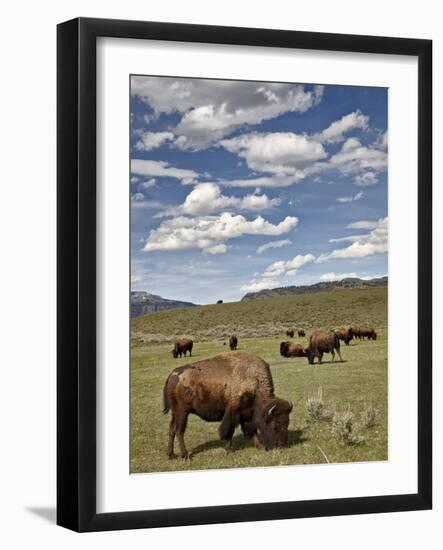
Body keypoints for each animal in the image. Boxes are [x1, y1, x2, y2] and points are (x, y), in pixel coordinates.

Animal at [163, 354, 294, 462]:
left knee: (172, 429)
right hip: (182, 412)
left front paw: (260, 446)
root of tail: (173, 375)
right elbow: (229, 431)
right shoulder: (233, 413)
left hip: (175, 413)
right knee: (179, 431)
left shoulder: (247, 414)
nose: (281, 445)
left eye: (287, 423)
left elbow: (252, 430)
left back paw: (171, 455)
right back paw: (185, 456)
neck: (254, 381)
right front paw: (229, 450)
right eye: (275, 425)